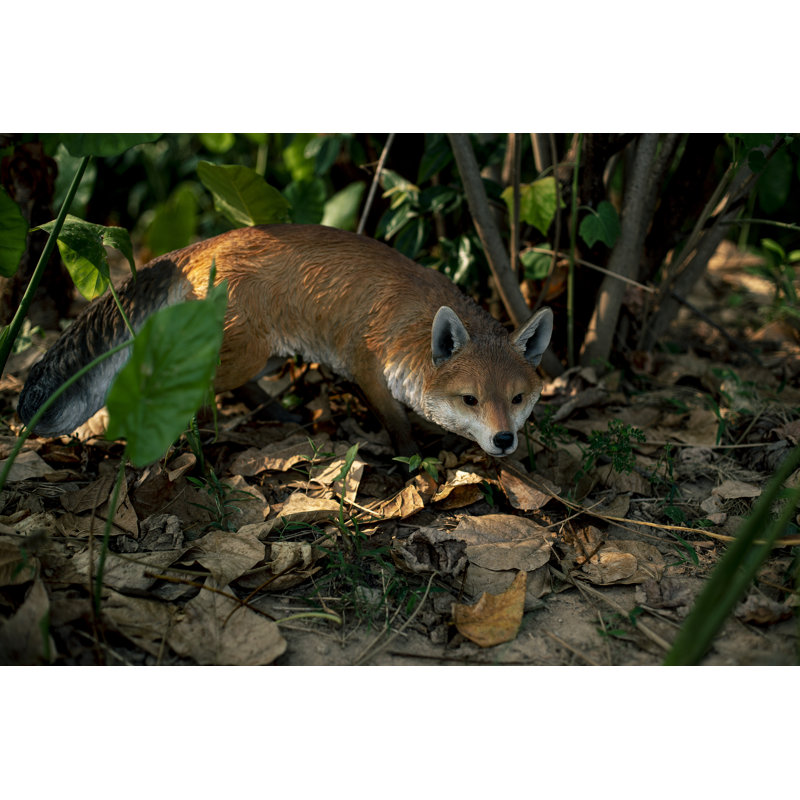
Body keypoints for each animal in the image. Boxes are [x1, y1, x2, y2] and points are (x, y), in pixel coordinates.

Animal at [17, 224, 553, 458]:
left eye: (517, 399)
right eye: (470, 399)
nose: (505, 440)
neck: (413, 332)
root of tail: (202, 244)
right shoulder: (366, 366)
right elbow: (396, 423)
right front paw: (413, 460)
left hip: (262, 353)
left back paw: (278, 412)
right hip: (247, 351)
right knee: (200, 385)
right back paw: (208, 438)